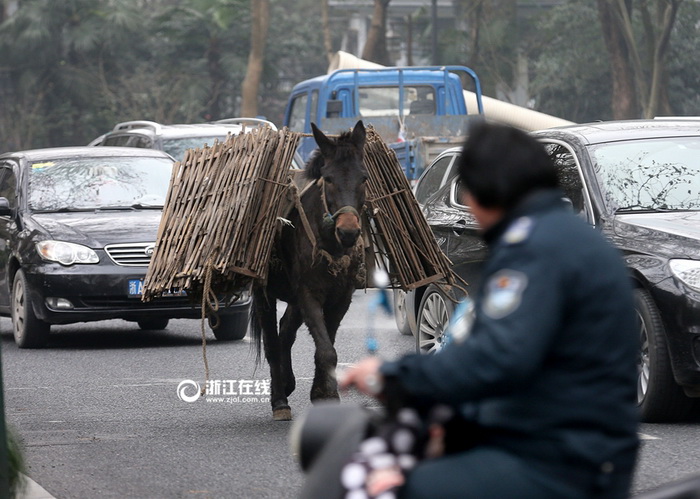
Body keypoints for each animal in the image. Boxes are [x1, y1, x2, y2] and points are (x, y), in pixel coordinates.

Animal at [253, 121, 372, 422]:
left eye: (364, 178)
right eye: (328, 179)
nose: (349, 232)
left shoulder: (342, 297)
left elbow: (327, 346)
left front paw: (322, 393)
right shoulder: (309, 294)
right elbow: (326, 350)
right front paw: (325, 393)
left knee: (286, 331)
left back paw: (287, 382)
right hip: (265, 292)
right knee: (272, 342)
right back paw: (279, 400)